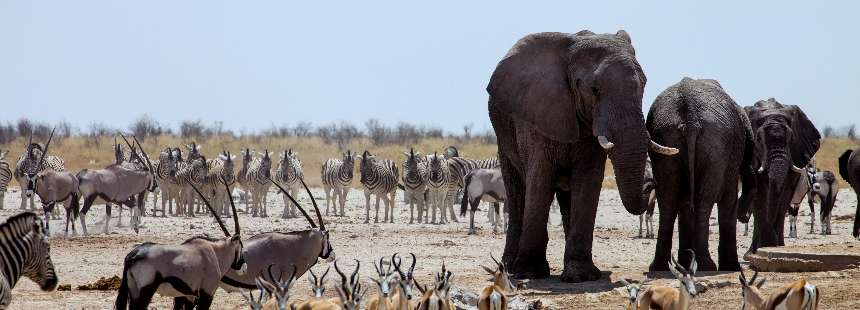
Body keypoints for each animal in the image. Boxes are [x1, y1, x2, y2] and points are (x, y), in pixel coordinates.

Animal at [114, 177, 245, 310]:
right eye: (241, 246)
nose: (243, 266)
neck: (215, 252)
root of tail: (133, 255)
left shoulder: (188, 296)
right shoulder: (207, 293)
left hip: (133, 291)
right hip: (144, 292)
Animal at [488, 30, 676, 282]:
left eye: (644, 85)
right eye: (594, 89)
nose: (650, 184)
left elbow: (588, 181)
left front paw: (581, 276)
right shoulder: (537, 117)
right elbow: (540, 179)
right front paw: (530, 272)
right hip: (503, 132)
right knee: (517, 191)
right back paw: (510, 268)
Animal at [648, 77, 748, 272]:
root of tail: (690, 114)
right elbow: (729, 202)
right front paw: (731, 267)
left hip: (666, 135)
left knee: (668, 199)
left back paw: (661, 267)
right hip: (716, 146)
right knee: (704, 200)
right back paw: (706, 266)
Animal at [740, 98, 820, 253]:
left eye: (791, 139)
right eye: (759, 140)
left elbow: (785, 194)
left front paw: (775, 245)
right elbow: (760, 194)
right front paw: (761, 248)